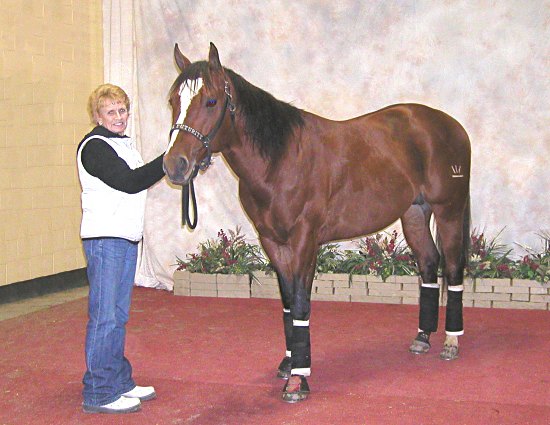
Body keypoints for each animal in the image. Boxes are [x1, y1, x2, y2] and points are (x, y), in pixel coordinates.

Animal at [162, 44, 472, 404]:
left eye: (211, 101)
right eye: (174, 100)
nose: (174, 165)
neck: (282, 160)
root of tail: (451, 126)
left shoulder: (304, 241)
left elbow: (300, 304)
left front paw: (298, 380)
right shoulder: (272, 241)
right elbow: (286, 302)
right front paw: (288, 363)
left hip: (449, 211)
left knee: (453, 268)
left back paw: (451, 341)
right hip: (414, 214)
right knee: (428, 262)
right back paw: (423, 337)